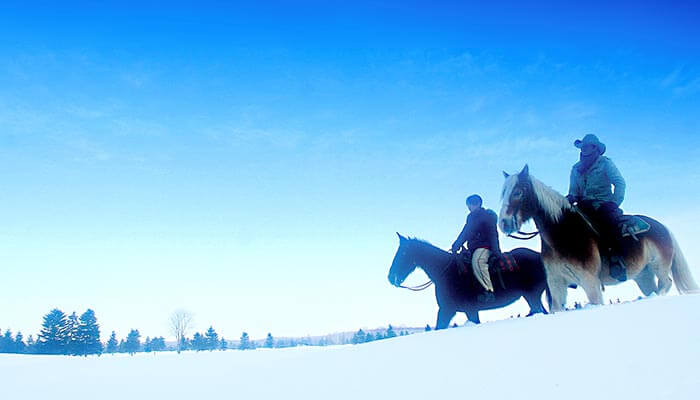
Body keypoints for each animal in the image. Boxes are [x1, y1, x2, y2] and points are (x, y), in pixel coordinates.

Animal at [388, 233, 548, 330]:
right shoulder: (467, 311)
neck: (445, 271)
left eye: (403, 253)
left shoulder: (448, 310)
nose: (391, 277)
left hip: (532, 295)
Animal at [500, 164, 696, 310]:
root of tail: (662, 227)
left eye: (518, 192)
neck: (562, 236)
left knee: (666, 283)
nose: (503, 223)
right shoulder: (556, 284)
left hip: (659, 266)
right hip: (643, 275)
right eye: (503, 193)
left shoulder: (590, 282)